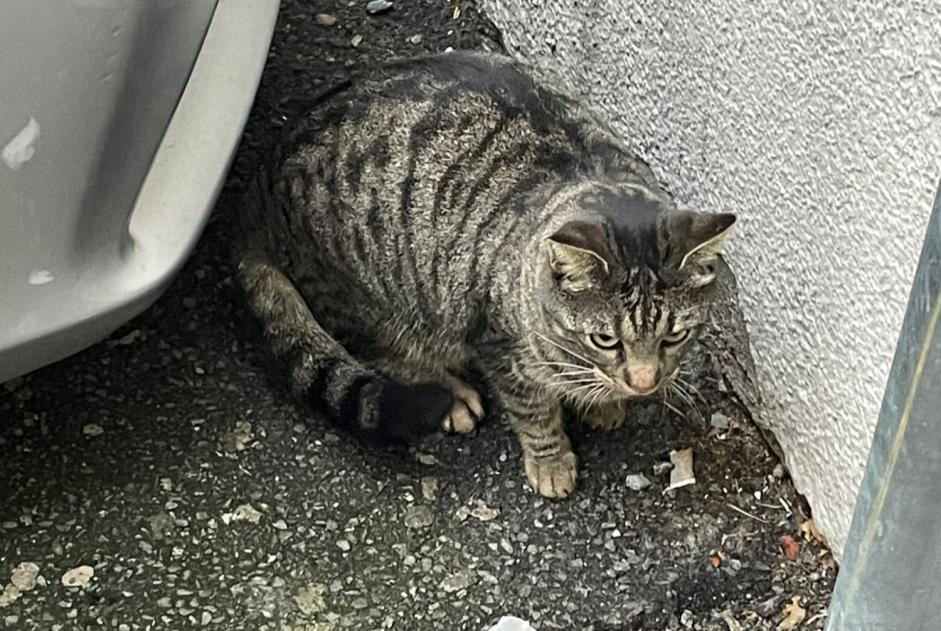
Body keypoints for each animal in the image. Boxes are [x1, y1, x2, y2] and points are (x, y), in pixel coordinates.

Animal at [237, 50, 736, 498]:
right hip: (374, 301)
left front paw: (604, 400)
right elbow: (533, 410)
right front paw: (552, 460)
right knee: (386, 352)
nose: (645, 383)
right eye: (605, 340)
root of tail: (257, 187)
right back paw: (452, 394)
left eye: (675, 337)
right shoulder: (497, 342)